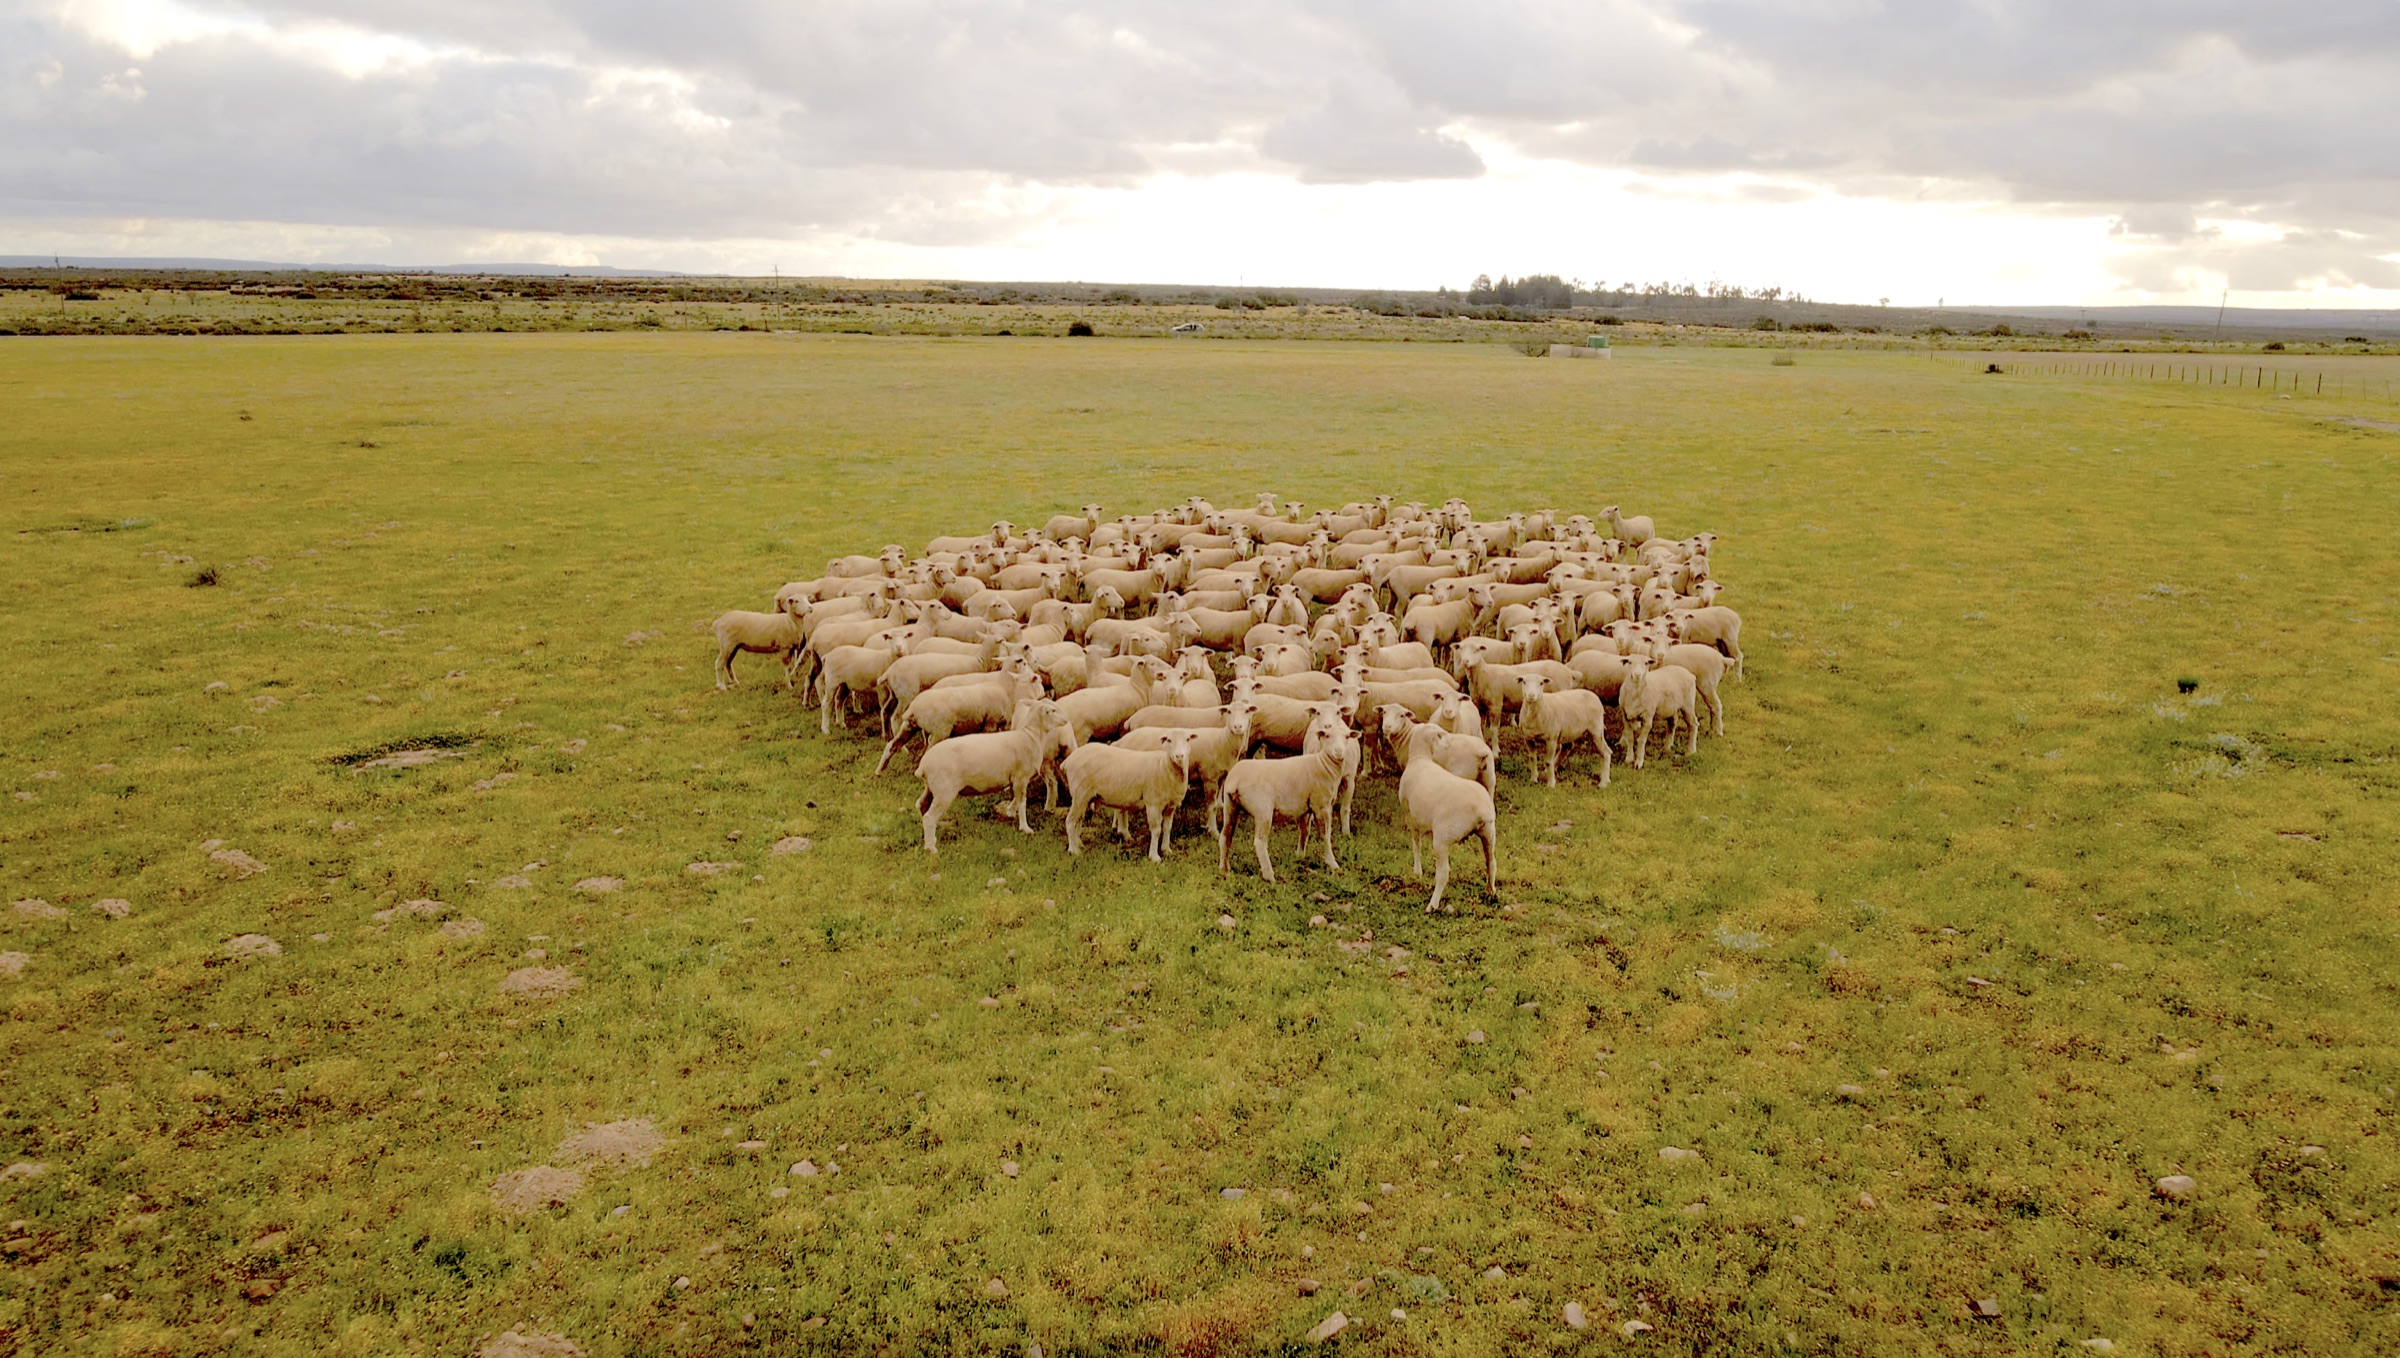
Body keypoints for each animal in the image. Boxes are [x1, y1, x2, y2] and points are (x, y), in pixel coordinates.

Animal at [915, 700, 1074, 853]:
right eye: (1052, 710)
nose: (1066, 720)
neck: (1030, 736)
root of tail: (924, 764)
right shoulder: (1020, 776)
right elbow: (1022, 802)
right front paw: (1025, 828)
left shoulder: (1018, 779)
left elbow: (1018, 797)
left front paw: (1010, 812)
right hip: (944, 790)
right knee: (929, 816)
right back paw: (931, 848)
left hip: (931, 788)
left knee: (922, 806)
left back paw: (927, 839)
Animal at [1063, 732, 1198, 861]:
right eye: (1169, 740)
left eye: (1188, 739)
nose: (1179, 756)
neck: (1163, 765)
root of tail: (1068, 761)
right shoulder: (1153, 803)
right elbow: (1156, 830)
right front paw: (1154, 856)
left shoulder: (1171, 806)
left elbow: (1167, 828)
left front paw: (1166, 850)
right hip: (1080, 794)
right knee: (1070, 821)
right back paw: (1073, 850)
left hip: (1085, 797)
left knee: (1078, 820)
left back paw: (1079, 844)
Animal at [1396, 723, 1498, 914]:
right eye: (1440, 735)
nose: (1450, 740)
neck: (1420, 758)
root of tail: (1481, 809)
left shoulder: (1410, 816)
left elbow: (1416, 844)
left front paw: (1417, 871)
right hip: (1489, 833)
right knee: (1491, 862)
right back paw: (1491, 891)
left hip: (1442, 838)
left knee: (1443, 873)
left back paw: (1432, 904)